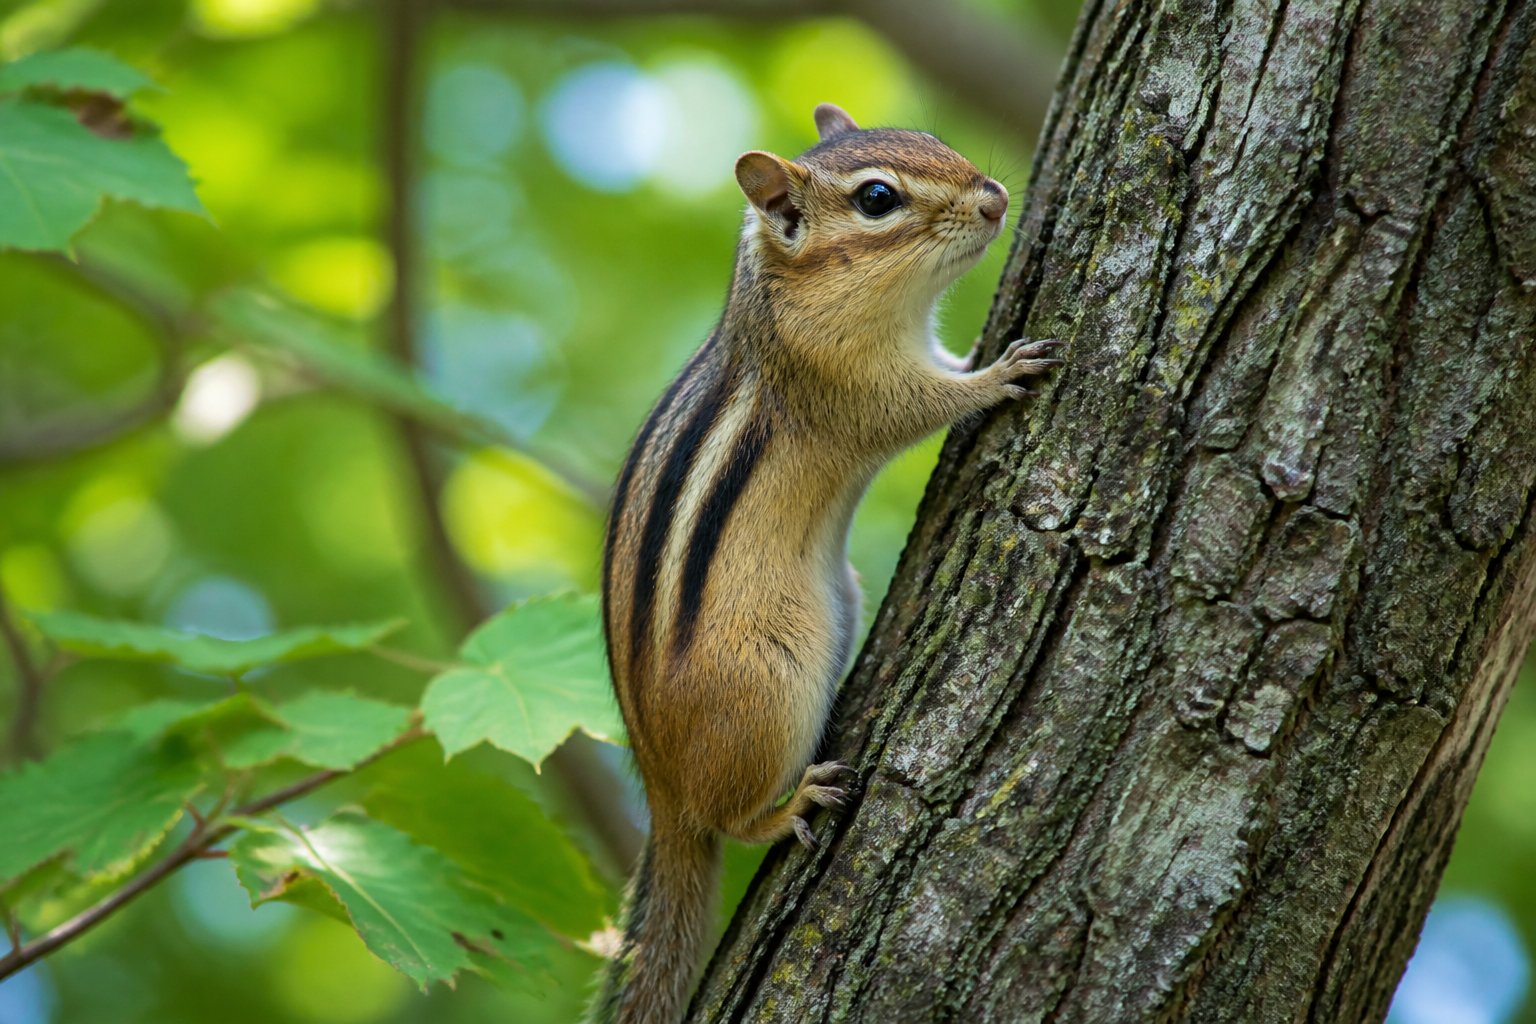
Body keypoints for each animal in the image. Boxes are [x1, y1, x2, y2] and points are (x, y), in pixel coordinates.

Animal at [593, 102, 1062, 1024]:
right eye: (877, 199)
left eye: (930, 138)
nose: (995, 199)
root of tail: (658, 790)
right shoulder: (850, 382)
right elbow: (924, 401)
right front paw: (998, 373)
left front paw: (980, 354)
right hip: (769, 688)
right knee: (726, 817)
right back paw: (784, 810)